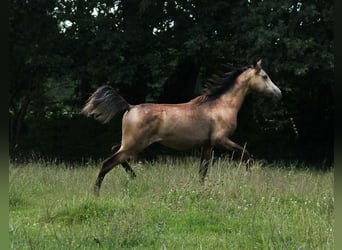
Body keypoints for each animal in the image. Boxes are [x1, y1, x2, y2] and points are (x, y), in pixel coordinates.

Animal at [81, 59, 282, 194]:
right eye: (265, 76)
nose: (279, 93)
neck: (222, 105)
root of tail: (129, 106)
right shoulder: (221, 140)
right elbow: (247, 156)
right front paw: (247, 180)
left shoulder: (207, 144)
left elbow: (202, 171)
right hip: (135, 144)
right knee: (107, 163)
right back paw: (97, 192)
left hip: (131, 144)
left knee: (115, 152)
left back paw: (134, 177)